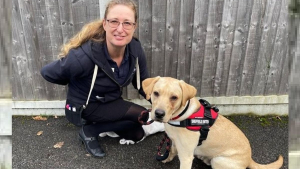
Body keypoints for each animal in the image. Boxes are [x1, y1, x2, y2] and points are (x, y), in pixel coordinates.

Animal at [142, 77, 282, 169]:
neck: (181, 116)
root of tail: (249, 159)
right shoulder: (175, 142)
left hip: (219, 161)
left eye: (174, 97)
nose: (159, 114)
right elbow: (171, 151)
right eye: (156, 93)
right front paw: (166, 158)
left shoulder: (186, 157)